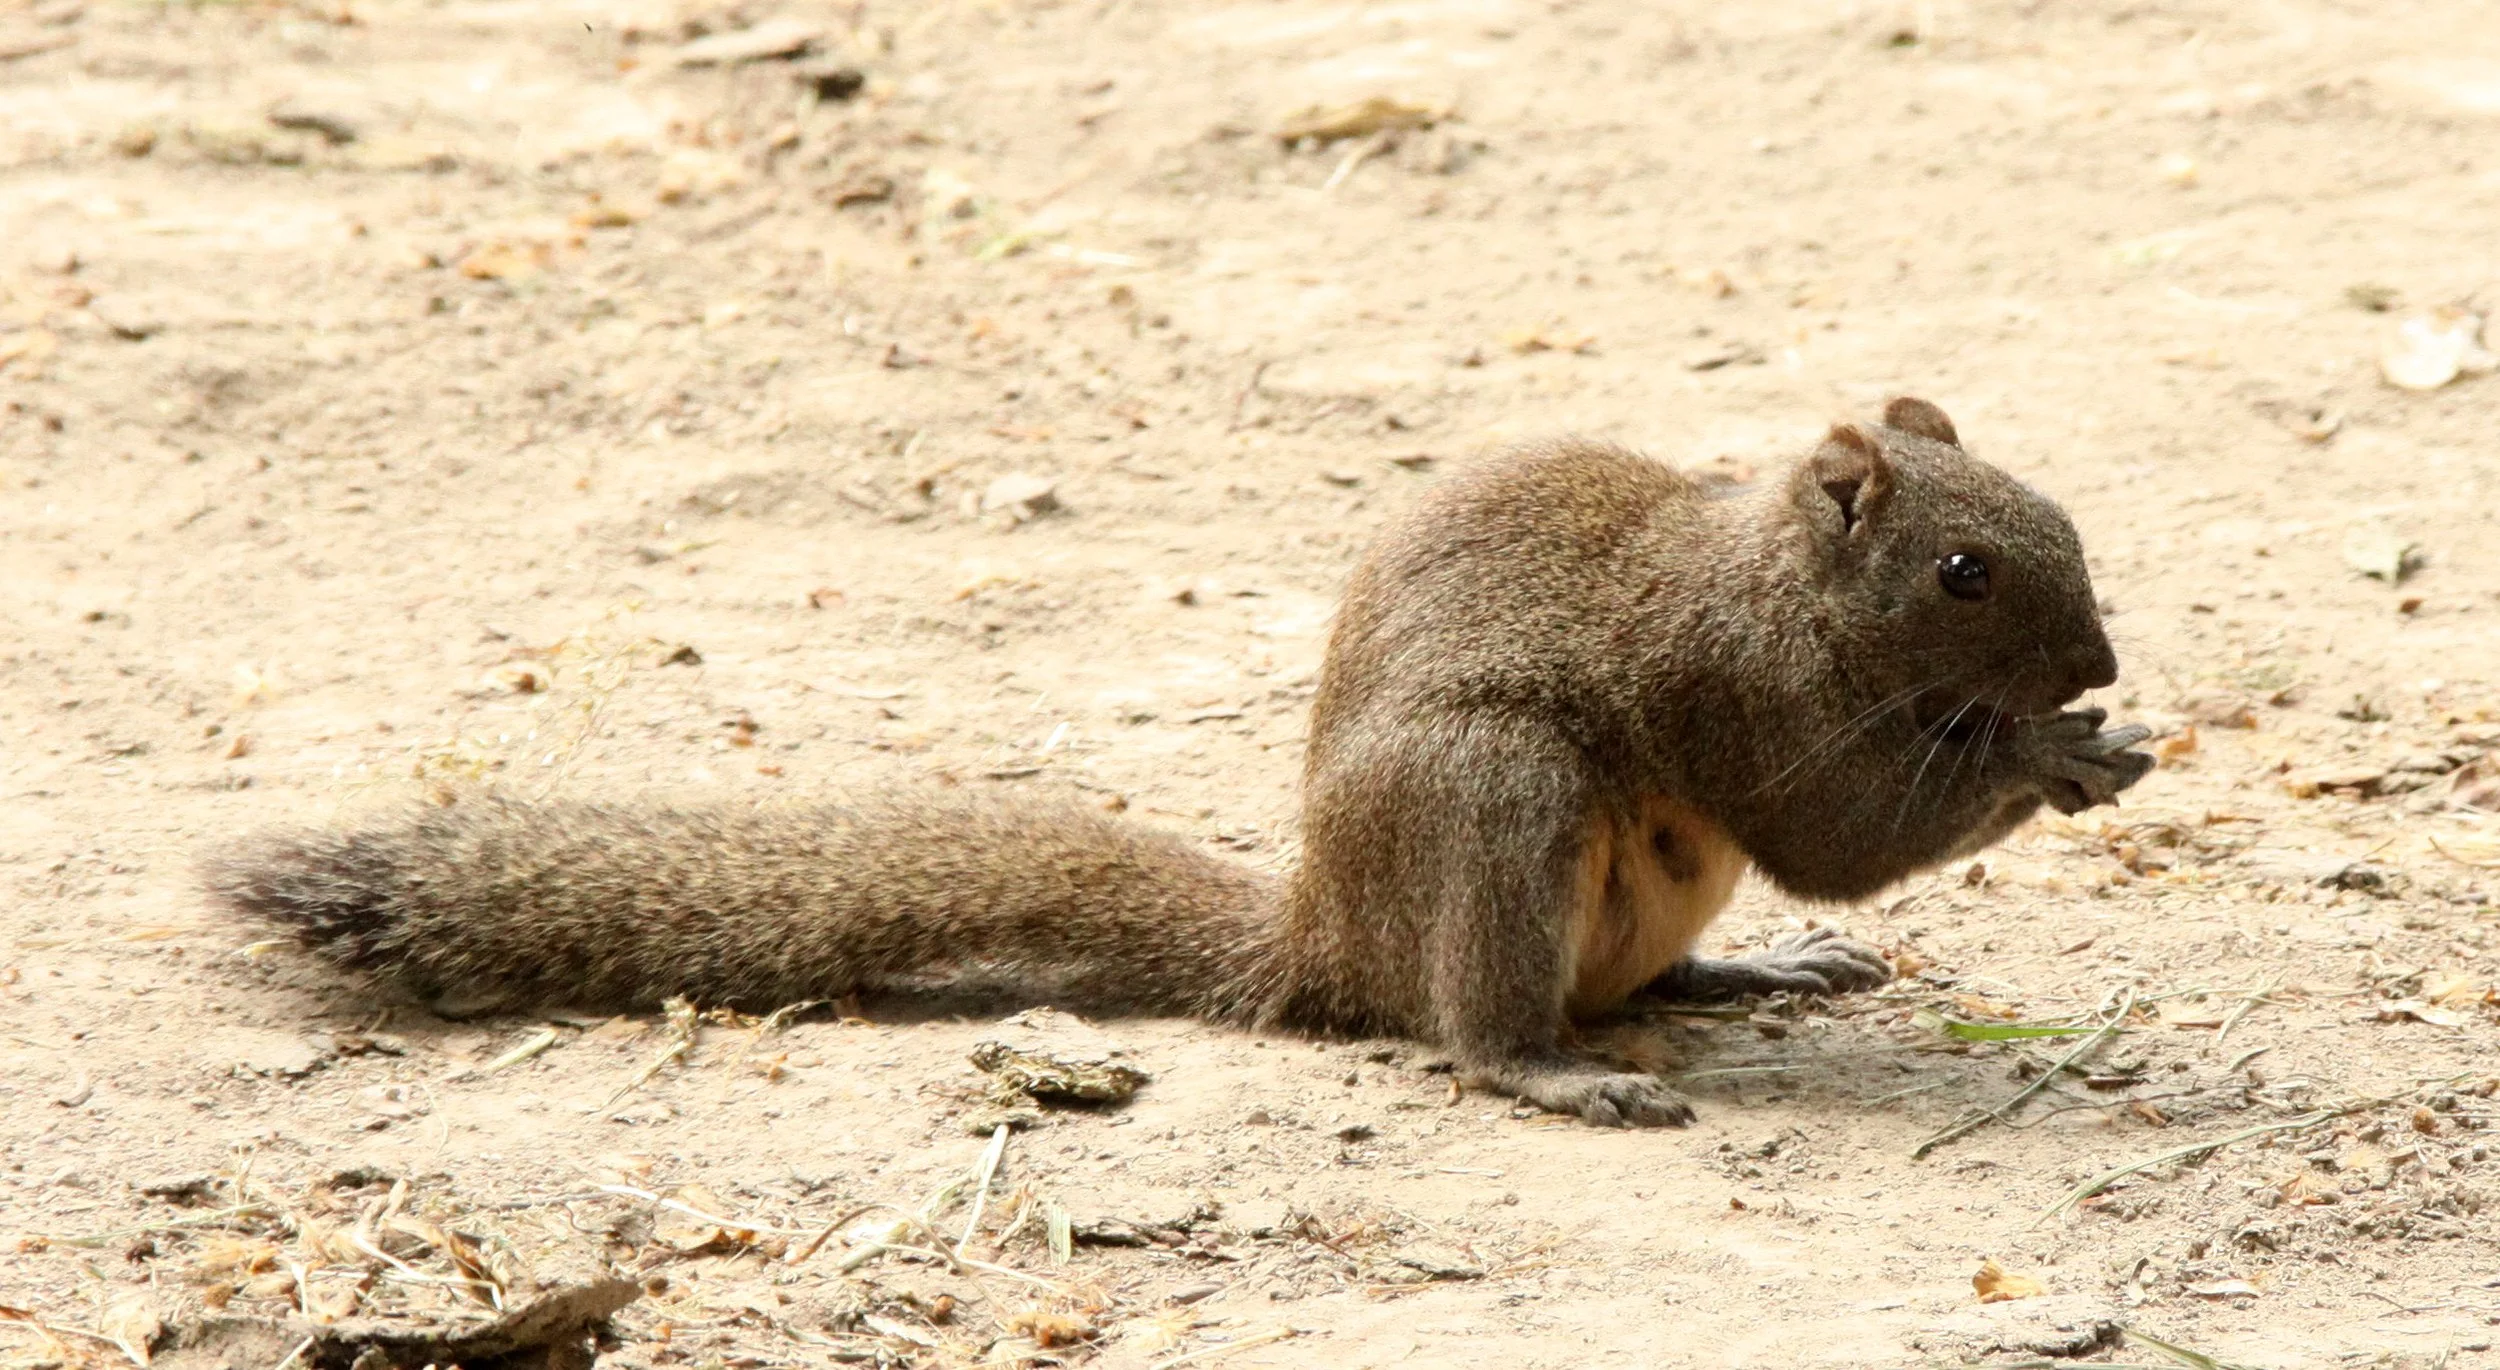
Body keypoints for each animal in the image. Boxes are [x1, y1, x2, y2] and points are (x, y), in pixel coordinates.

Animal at [209, 397, 2154, 1127]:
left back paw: (1752, 973)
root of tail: (1326, 942)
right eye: (1964, 570)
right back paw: (1560, 1072)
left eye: (2060, 513)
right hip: (1491, 799)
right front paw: (2057, 755)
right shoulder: (1743, 692)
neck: (1765, 574)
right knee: (1479, 1029)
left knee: (1628, 981)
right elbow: (1842, 829)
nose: (2103, 662)